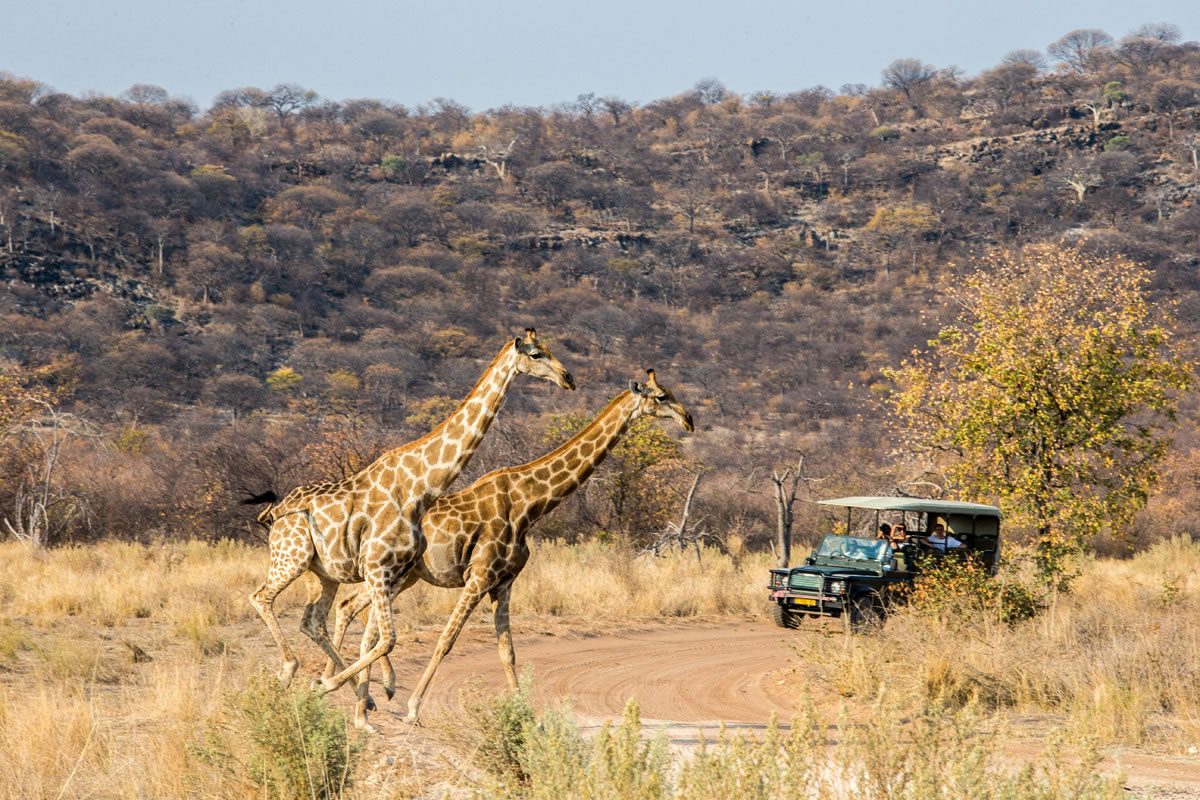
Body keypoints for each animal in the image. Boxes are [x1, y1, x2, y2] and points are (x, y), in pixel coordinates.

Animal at [328, 369, 696, 724]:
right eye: (661, 396)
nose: (689, 419)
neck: (529, 504)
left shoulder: (504, 583)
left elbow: (507, 651)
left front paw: (525, 714)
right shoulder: (479, 578)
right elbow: (446, 640)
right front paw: (414, 707)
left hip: (405, 576)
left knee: (353, 609)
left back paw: (363, 693)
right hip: (396, 574)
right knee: (361, 616)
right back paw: (357, 692)